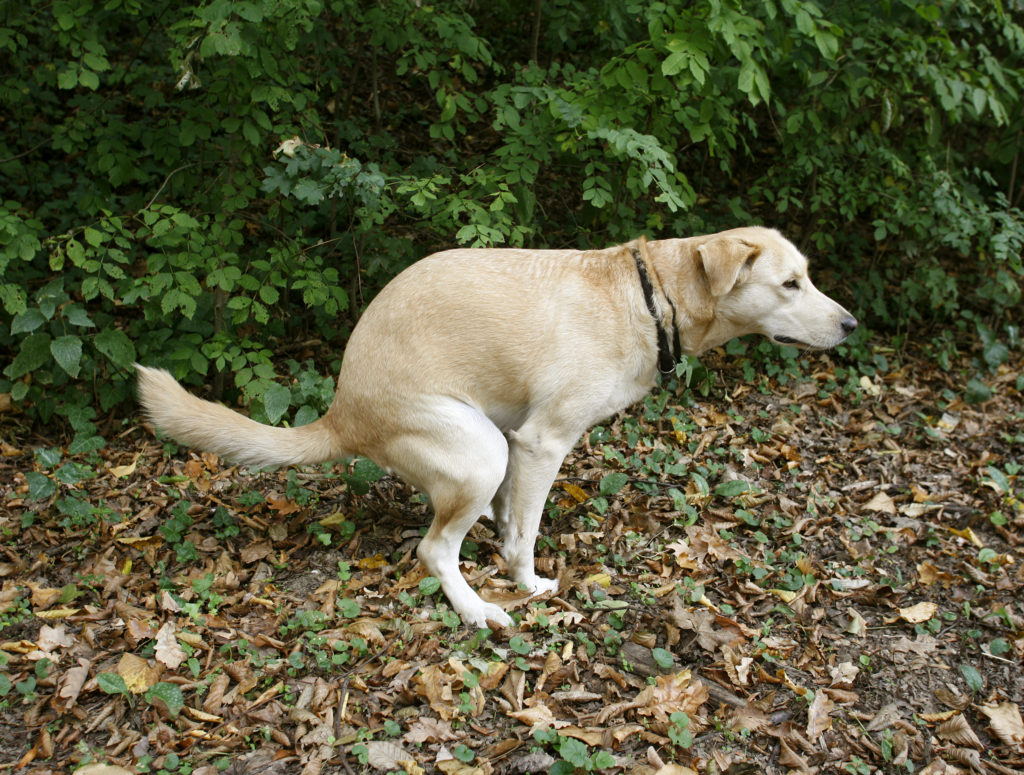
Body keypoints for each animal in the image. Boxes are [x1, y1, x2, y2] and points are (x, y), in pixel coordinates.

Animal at [136, 225, 856, 630]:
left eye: (807, 277)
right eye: (790, 284)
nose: (851, 324)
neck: (651, 296)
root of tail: (342, 411)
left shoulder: (521, 442)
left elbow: (514, 520)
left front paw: (506, 542)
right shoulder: (540, 443)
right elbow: (526, 535)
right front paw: (527, 582)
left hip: (484, 446)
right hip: (479, 449)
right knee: (434, 551)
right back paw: (477, 608)